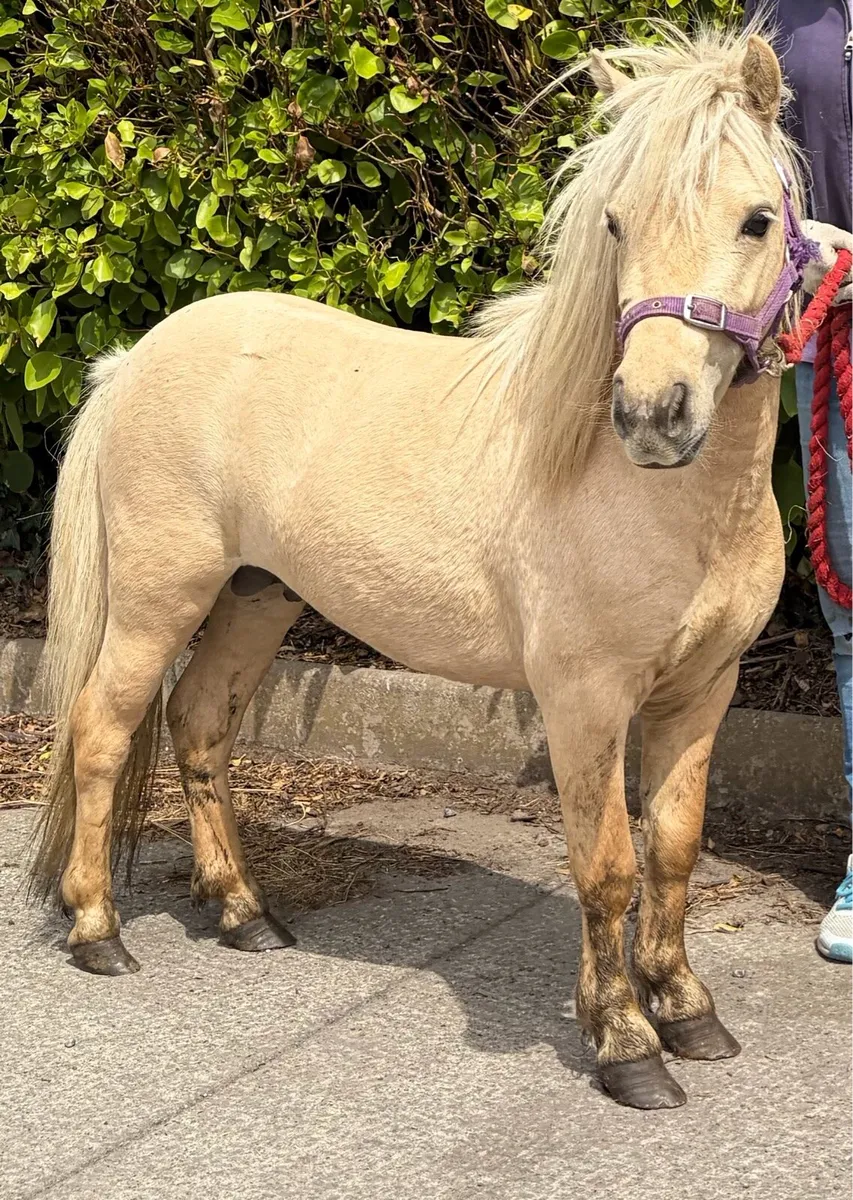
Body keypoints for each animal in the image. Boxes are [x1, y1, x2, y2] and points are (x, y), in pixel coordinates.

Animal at [30, 27, 807, 1110]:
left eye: (756, 218)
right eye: (615, 222)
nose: (653, 416)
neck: (666, 501)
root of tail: (129, 360)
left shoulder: (703, 689)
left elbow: (676, 849)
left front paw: (687, 1011)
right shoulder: (584, 700)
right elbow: (607, 865)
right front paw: (625, 1045)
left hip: (256, 599)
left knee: (198, 726)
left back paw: (244, 914)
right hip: (157, 598)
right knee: (102, 731)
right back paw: (98, 930)